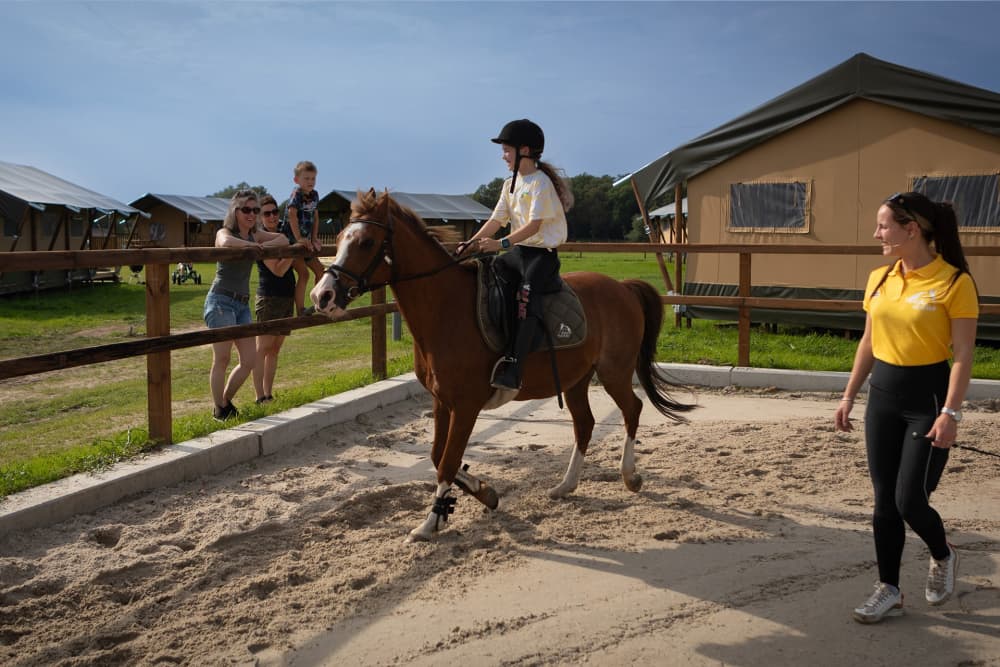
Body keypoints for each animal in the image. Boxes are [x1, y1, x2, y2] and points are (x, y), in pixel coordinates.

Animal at [308, 189, 692, 544]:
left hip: (614, 371)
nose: (321, 296)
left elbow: (448, 461)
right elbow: (437, 456)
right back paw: (565, 486)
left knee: (633, 409)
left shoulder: (465, 406)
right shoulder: (441, 401)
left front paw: (431, 523)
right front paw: (483, 492)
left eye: (366, 242)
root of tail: (623, 288)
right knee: (585, 424)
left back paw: (630, 476)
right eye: (338, 240)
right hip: (576, 379)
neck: (446, 309)